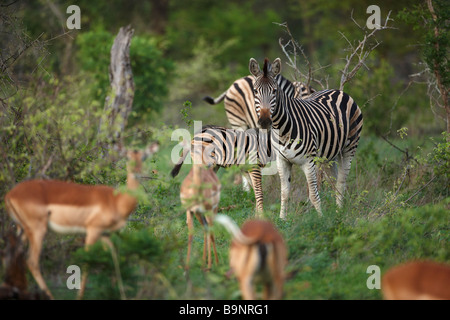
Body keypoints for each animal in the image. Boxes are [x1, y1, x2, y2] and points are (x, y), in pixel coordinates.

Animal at [248, 57, 364, 219]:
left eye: (274, 91)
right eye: (255, 91)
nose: (264, 121)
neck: (283, 129)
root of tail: (339, 91)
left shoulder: (309, 162)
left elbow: (314, 195)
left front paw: (322, 219)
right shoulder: (282, 161)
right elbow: (284, 193)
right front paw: (282, 219)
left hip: (349, 147)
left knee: (341, 181)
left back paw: (339, 213)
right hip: (331, 154)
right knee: (335, 181)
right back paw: (338, 212)